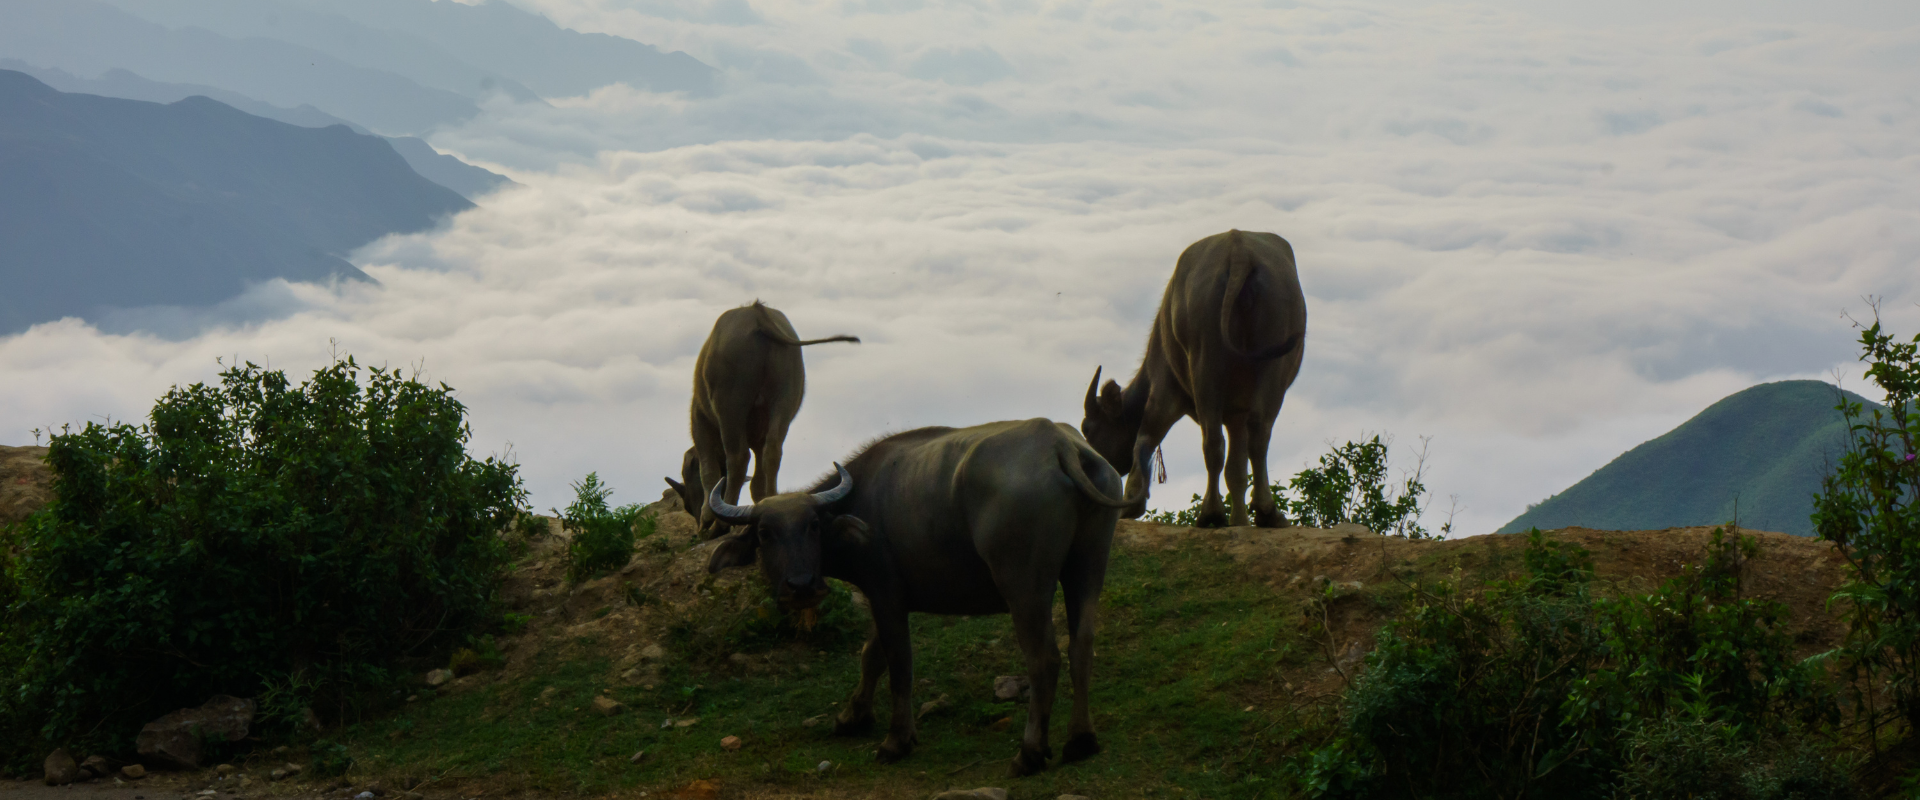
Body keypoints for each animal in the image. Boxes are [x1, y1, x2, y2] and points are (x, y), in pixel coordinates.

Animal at [672, 299, 860, 537]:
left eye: (688, 502)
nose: (698, 519)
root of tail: (757, 313)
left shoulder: (699, 421)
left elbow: (709, 471)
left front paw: (707, 519)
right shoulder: (759, 437)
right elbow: (757, 480)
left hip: (731, 407)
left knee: (738, 458)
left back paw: (719, 525)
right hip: (783, 400)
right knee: (773, 452)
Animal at [702, 418, 1136, 775]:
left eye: (813, 526)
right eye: (765, 533)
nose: (802, 586)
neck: (861, 501)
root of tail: (1059, 444)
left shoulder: (885, 593)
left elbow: (898, 665)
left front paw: (896, 741)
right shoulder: (889, 597)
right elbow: (871, 655)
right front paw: (851, 717)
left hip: (1024, 584)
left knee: (1044, 659)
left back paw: (1029, 754)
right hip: (1089, 564)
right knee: (1082, 646)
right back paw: (1080, 741)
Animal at [1082, 227, 1305, 525]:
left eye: (1089, 429)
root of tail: (1239, 250)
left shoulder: (1164, 387)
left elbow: (1145, 436)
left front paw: (1132, 505)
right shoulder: (1237, 414)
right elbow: (1237, 470)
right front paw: (1241, 521)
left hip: (1205, 361)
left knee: (1212, 441)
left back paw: (1211, 513)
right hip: (1271, 360)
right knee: (1257, 432)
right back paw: (1267, 513)